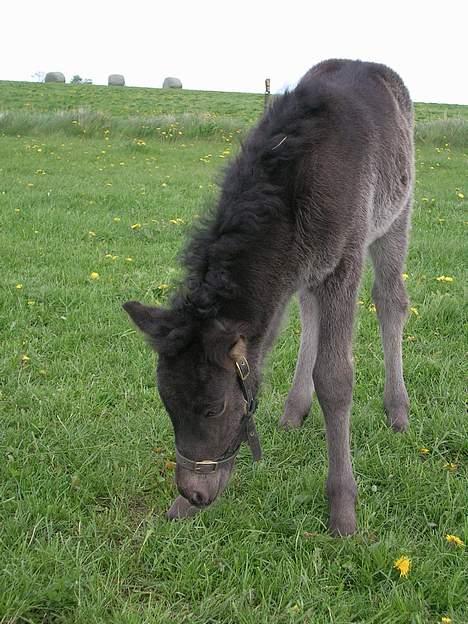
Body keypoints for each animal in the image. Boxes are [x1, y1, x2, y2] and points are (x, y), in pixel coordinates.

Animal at [124, 59, 414, 536]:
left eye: (214, 408)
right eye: (168, 404)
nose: (193, 492)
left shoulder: (344, 262)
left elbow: (335, 378)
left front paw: (343, 510)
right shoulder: (292, 274)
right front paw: (181, 508)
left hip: (397, 216)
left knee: (391, 301)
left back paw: (398, 411)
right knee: (310, 315)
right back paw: (294, 410)